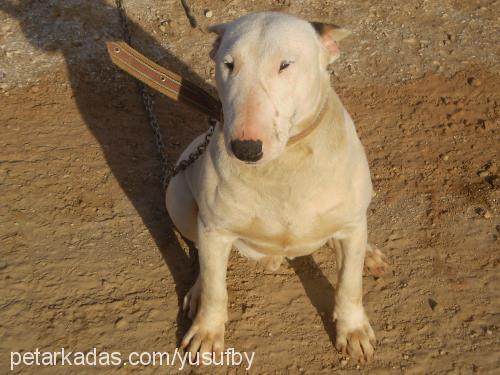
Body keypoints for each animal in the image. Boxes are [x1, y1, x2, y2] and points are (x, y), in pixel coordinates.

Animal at [166, 11, 388, 364]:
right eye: (228, 64)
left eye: (285, 64)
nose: (245, 149)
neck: (285, 163)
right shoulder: (214, 227)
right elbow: (216, 287)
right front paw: (206, 332)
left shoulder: (351, 225)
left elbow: (349, 284)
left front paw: (353, 330)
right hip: (177, 196)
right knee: (202, 254)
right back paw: (198, 290)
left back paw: (368, 253)